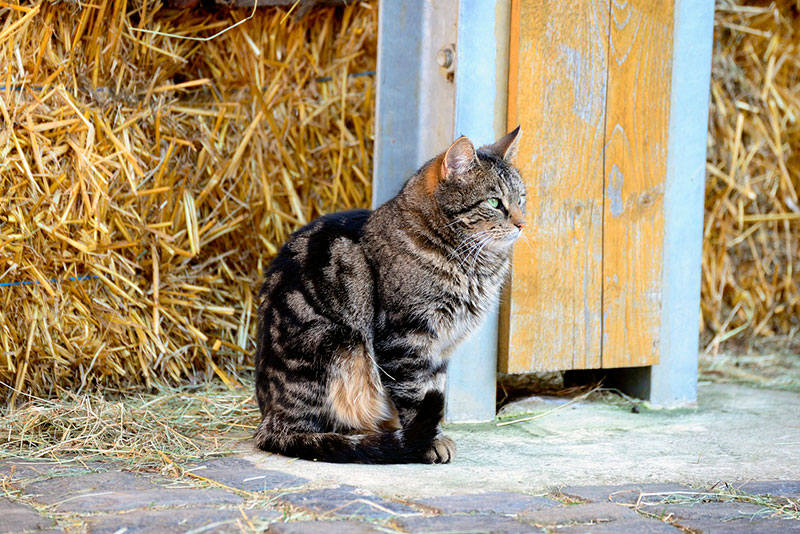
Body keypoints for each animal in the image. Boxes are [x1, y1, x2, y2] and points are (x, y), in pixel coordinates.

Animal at [255, 129, 524, 464]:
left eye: (521, 199)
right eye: (494, 202)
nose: (522, 223)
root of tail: (269, 419)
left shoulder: (440, 348)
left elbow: (433, 387)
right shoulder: (405, 338)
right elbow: (416, 396)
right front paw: (428, 441)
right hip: (340, 348)